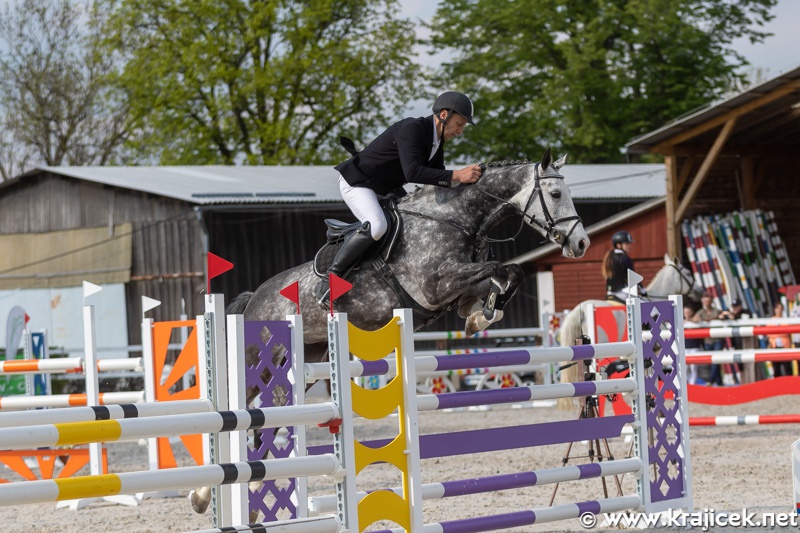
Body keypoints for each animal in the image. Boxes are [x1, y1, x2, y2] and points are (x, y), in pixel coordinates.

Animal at [190, 149, 590, 516]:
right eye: (556, 194)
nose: (580, 244)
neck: (453, 219)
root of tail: (254, 298)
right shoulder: (437, 284)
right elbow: (500, 268)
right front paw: (484, 312)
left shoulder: (454, 286)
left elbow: (504, 275)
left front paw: (481, 314)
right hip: (258, 365)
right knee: (233, 416)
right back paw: (202, 495)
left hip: (299, 370)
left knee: (267, 426)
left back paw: (252, 499)